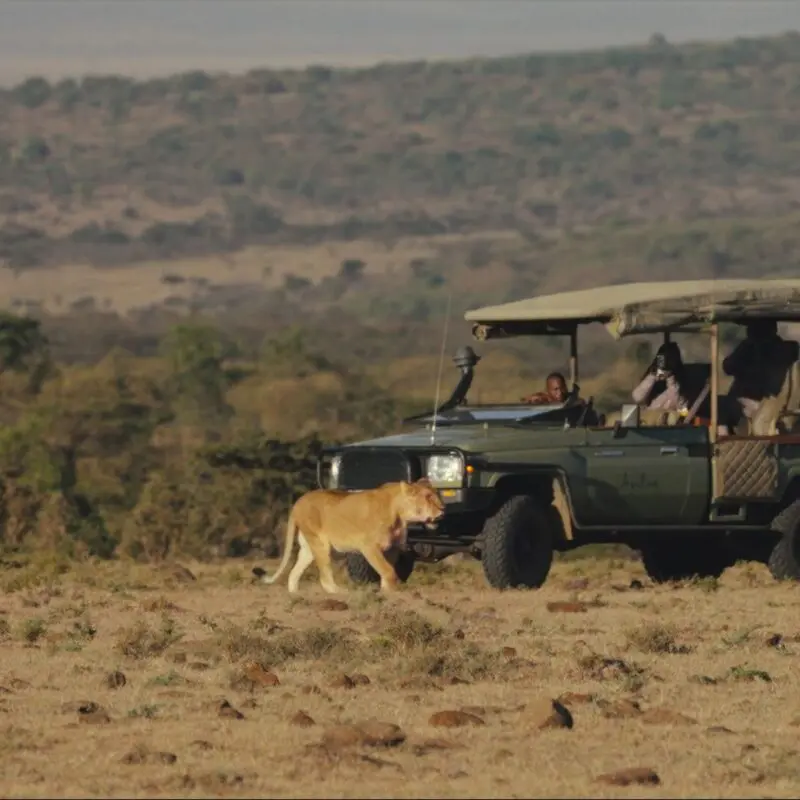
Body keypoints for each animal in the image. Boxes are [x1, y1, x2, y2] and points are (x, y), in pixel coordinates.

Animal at [255, 478, 445, 593]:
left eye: (436, 495)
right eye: (428, 497)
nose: (443, 510)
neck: (400, 515)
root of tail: (298, 502)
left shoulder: (393, 548)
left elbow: (388, 570)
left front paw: (387, 592)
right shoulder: (369, 546)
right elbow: (387, 570)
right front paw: (390, 591)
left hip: (309, 547)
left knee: (294, 573)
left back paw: (295, 594)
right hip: (321, 543)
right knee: (325, 577)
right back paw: (341, 593)